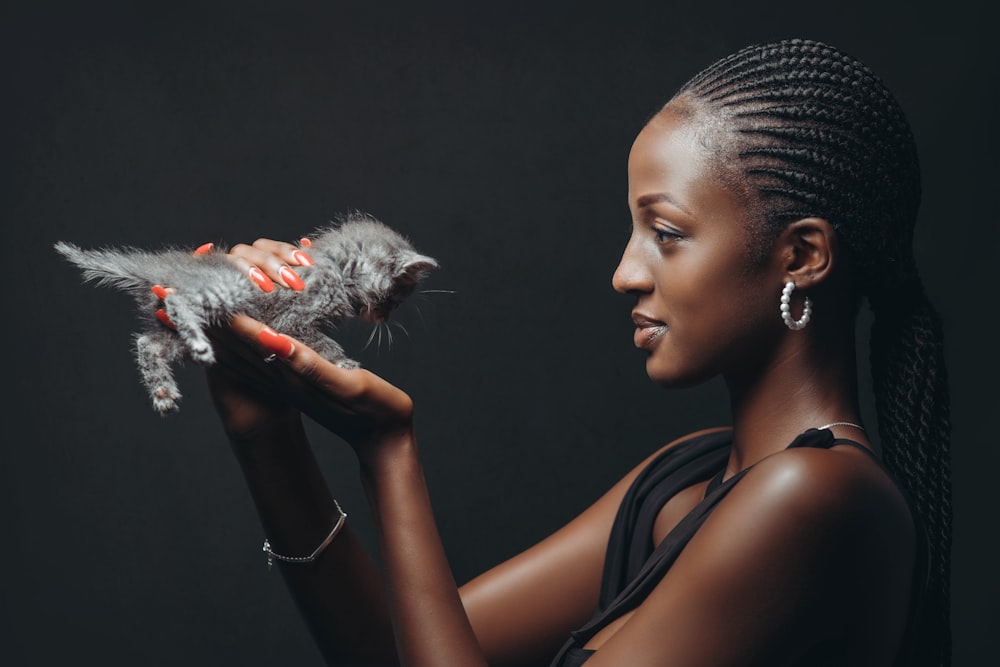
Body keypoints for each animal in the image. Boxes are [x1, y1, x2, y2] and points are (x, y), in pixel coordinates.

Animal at [54, 211, 438, 414]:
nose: (384, 317)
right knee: (179, 306)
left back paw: (162, 391)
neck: (336, 268)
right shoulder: (294, 319)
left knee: (147, 343)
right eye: (396, 297)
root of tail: (167, 269)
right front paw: (343, 363)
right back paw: (197, 348)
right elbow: (321, 341)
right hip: (223, 293)